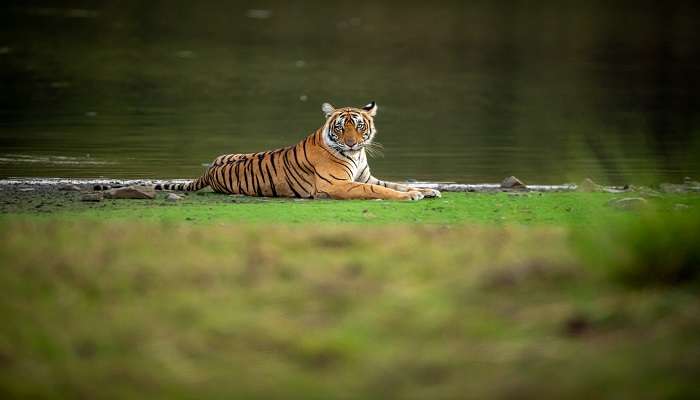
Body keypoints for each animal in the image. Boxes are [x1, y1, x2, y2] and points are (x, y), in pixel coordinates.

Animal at [157, 101, 440, 199]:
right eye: (341, 127)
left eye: (359, 126)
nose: (351, 143)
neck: (356, 155)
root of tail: (210, 169)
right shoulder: (337, 184)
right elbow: (379, 191)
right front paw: (413, 195)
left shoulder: (365, 177)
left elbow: (395, 184)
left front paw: (427, 190)